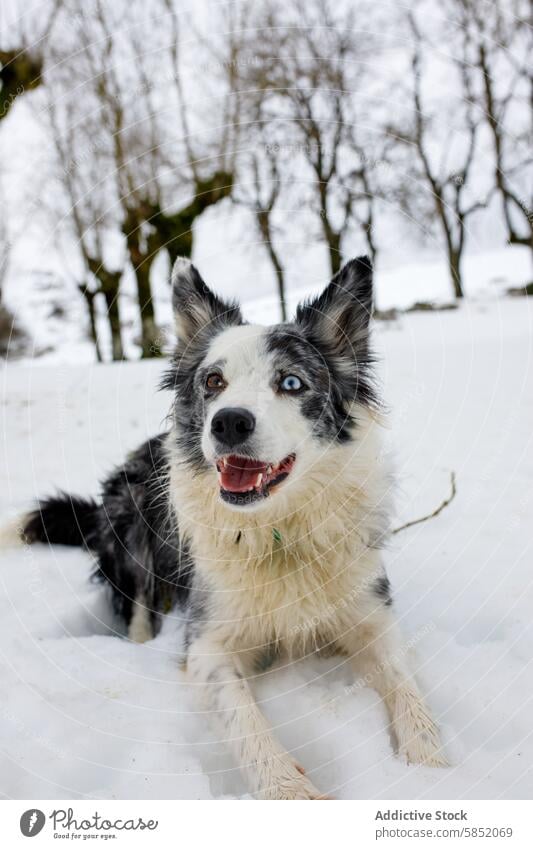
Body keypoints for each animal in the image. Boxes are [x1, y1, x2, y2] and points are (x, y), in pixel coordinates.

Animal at [12, 255, 446, 800]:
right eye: (213, 381)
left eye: (291, 383)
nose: (229, 422)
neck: (276, 531)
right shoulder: (207, 644)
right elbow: (244, 717)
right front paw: (289, 790)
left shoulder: (370, 613)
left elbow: (405, 685)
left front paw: (430, 765)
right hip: (131, 516)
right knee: (137, 605)